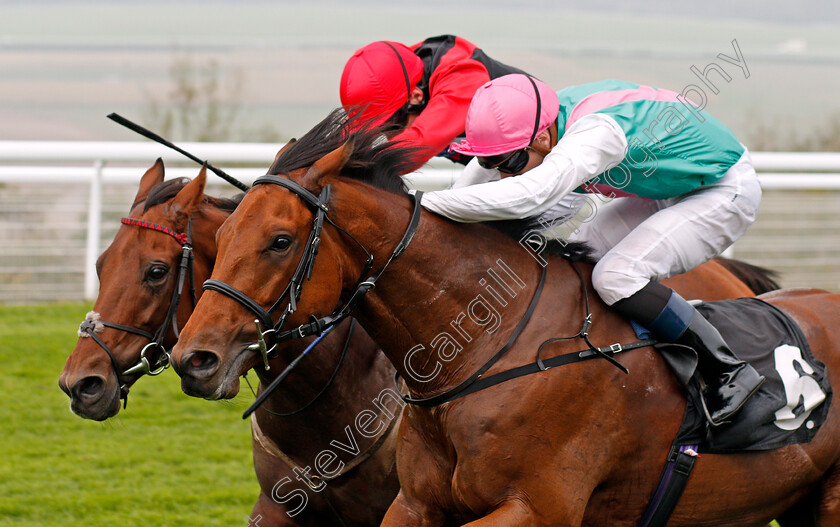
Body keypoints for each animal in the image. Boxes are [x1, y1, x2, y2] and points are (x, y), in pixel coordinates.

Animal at [169, 113, 840, 524]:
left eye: (280, 241)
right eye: (222, 234)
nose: (194, 359)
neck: (483, 347)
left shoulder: (535, 508)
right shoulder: (415, 504)